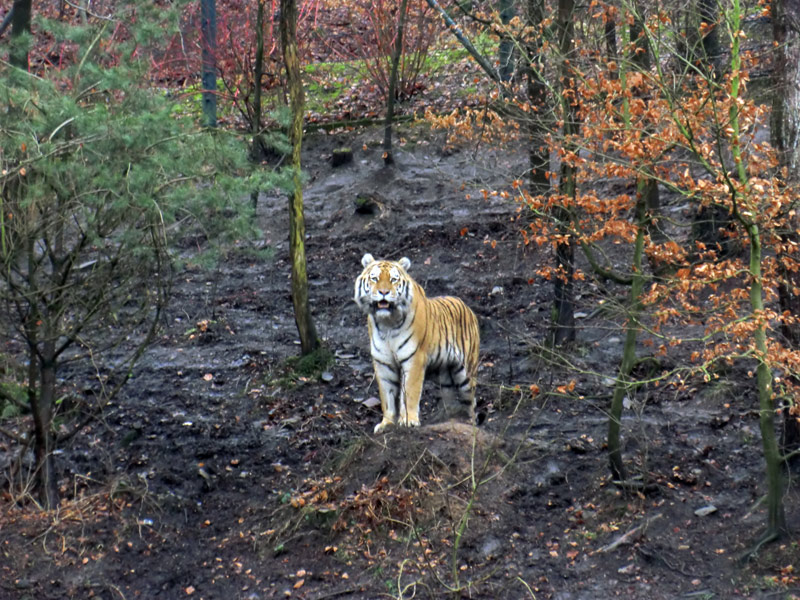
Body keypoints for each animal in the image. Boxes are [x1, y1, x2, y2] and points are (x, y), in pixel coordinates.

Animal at [354, 252, 478, 432]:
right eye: (374, 278)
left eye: (393, 279)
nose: (383, 292)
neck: (387, 323)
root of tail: (467, 307)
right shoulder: (383, 363)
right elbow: (387, 397)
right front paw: (387, 423)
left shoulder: (414, 359)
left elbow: (410, 392)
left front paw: (408, 420)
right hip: (444, 374)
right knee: (449, 395)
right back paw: (446, 419)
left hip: (465, 373)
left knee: (471, 401)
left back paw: (470, 423)